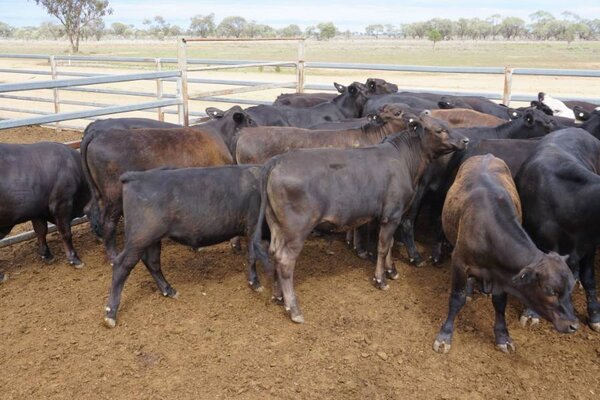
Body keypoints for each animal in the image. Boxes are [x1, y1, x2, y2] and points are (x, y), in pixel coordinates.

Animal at [0, 142, 90, 280]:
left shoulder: (38, 211)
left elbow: (41, 231)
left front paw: (47, 255)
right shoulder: (62, 204)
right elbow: (66, 233)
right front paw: (74, 259)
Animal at [104, 164, 268, 326]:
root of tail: (134, 176)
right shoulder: (253, 227)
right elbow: (252, 256)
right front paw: (255, 283)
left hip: (151, 239)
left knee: (152, 262)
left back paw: (169, 290)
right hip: (140, 237)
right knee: (122, 265)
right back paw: (110, 314)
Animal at [251, 112, 466, 322]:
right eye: (440, 130)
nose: (465, 139)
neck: (404, 160)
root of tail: (278, 160)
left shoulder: (391, 216)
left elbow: (389, 245)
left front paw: (392, 271)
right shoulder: (392, 215)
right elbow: (382, 247)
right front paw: (381, 280)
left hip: (276, 225)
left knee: (274, 253)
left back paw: (278, 296)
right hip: (296, 229)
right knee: (285, 260)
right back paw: (294, 309)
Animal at [434, 155, 580, 354]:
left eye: (571, 288)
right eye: (550, 290)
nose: (573, 325)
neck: (488, 229)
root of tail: (487, 155)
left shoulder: (503, 274)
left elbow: (500, 303)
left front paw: (503, 336)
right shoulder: (459, 262)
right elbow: (457, 298)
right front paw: (445, 334)